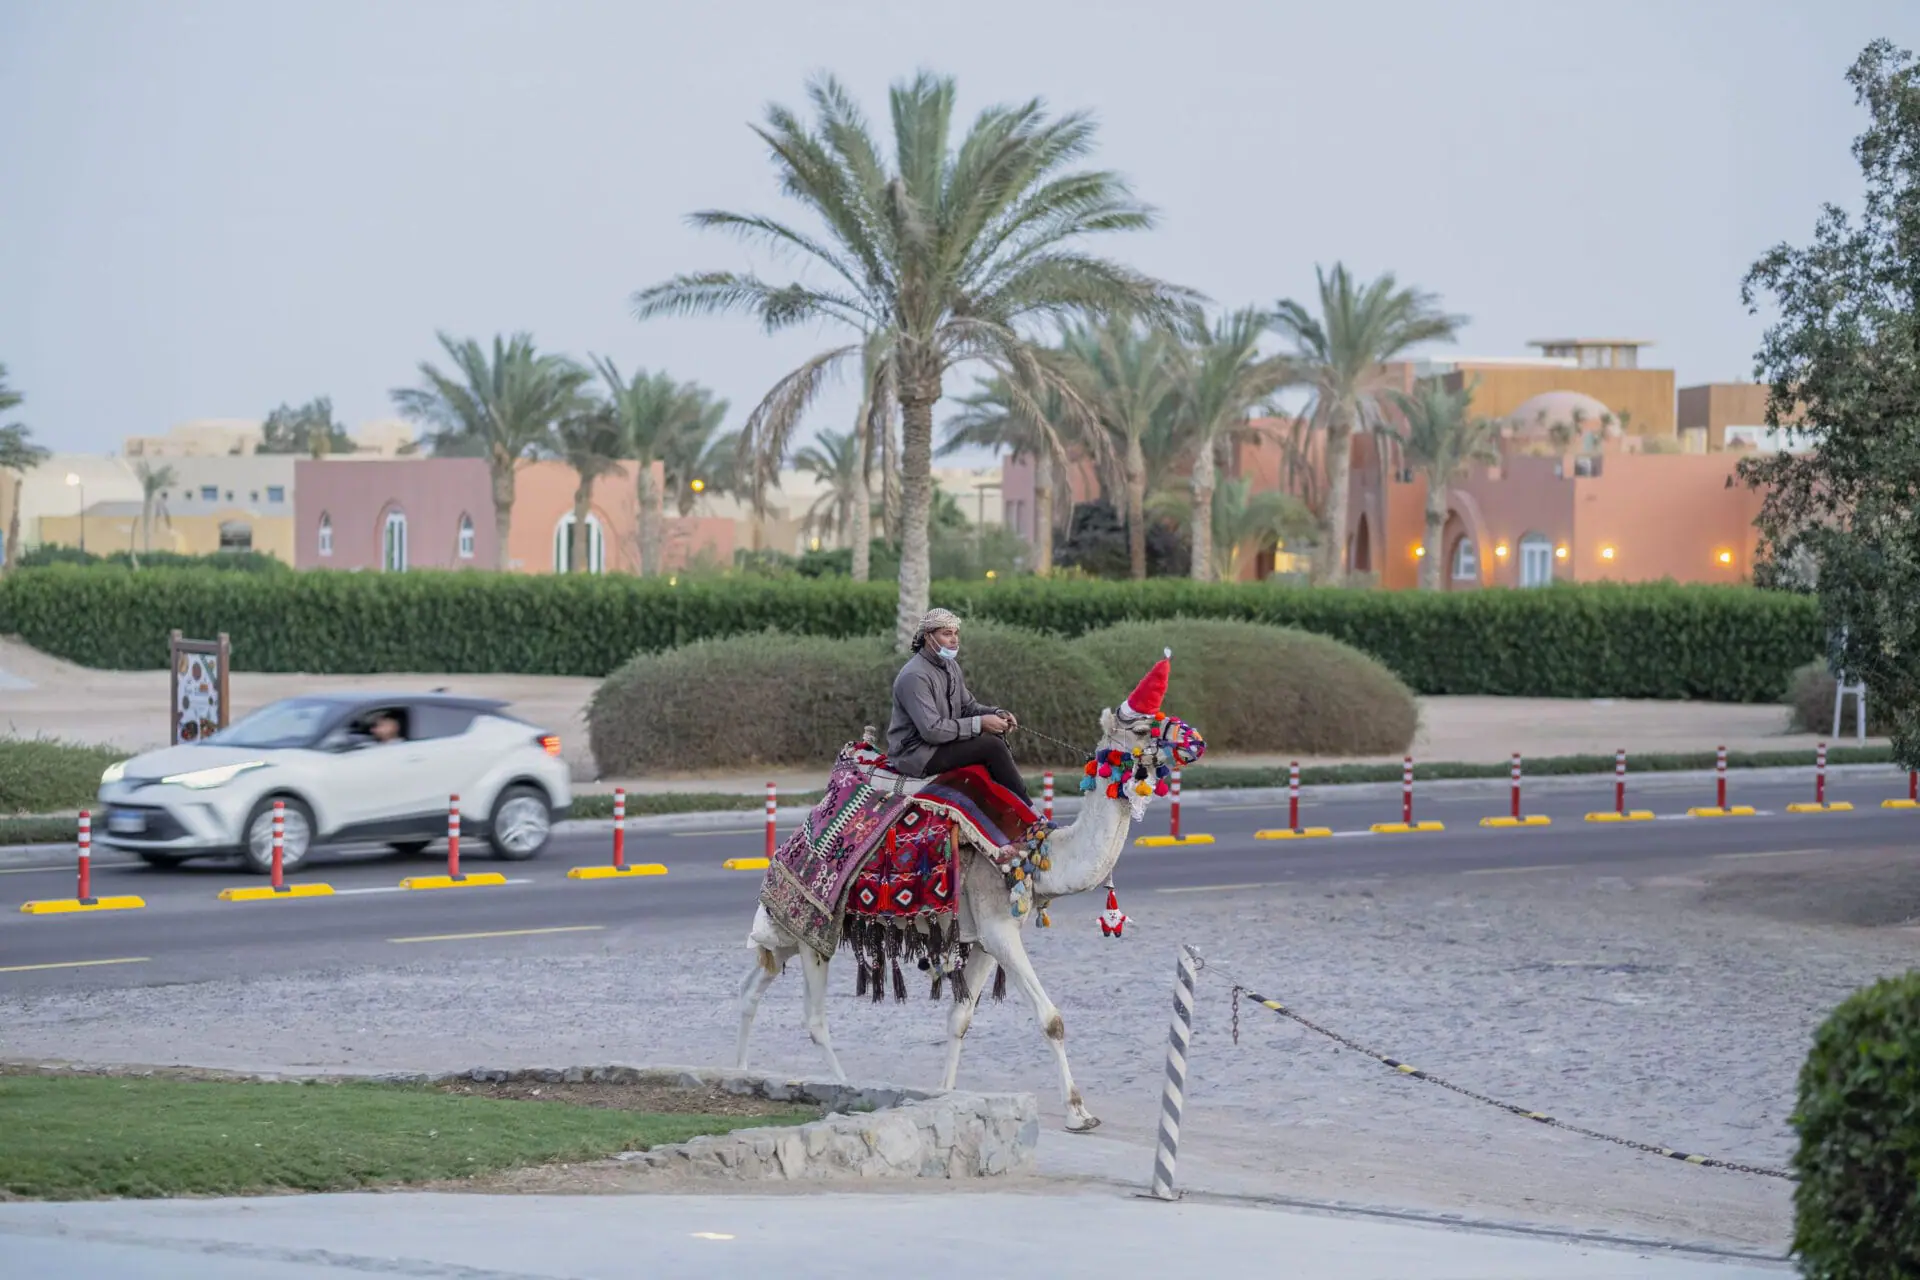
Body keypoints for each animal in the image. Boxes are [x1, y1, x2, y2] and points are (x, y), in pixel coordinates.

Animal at [733, 706, 1167, 1136]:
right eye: (1140, 728)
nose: (1181, 740)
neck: (1034, 857)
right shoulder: (999, 930)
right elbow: (1051, 1020)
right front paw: (1079, 1113)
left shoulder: (985, 940)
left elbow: (959, 1018)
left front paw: (945, 1093)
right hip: (814, 933)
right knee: (814, 1018)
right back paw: (843, 1087)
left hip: (788, 934)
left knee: (752, 986)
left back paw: (740, 1073)